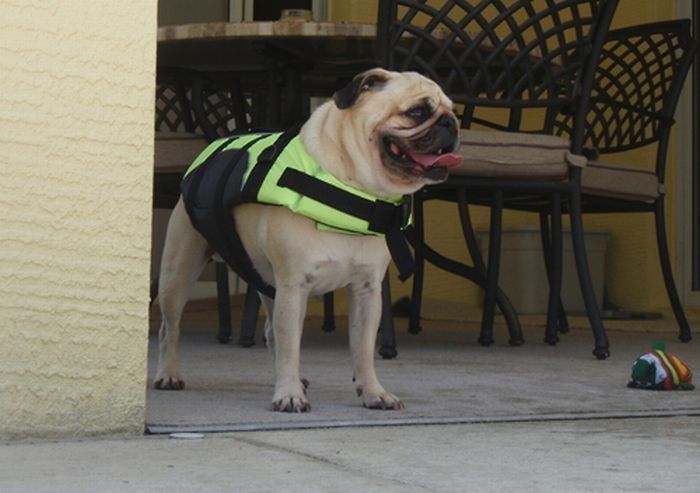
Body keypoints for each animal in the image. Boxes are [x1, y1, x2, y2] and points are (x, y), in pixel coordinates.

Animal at [157, 68, 464, 412]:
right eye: (417, 113)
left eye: (454, 111)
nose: (450, 123)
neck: (355, 188)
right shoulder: (295, 286)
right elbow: (292, 346)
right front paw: (288, 393)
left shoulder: (367, 292)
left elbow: (362, 350)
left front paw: (373, 392)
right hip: (179, 274)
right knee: (170, 328)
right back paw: (169, 374)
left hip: (268, 283)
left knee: (270, 332)